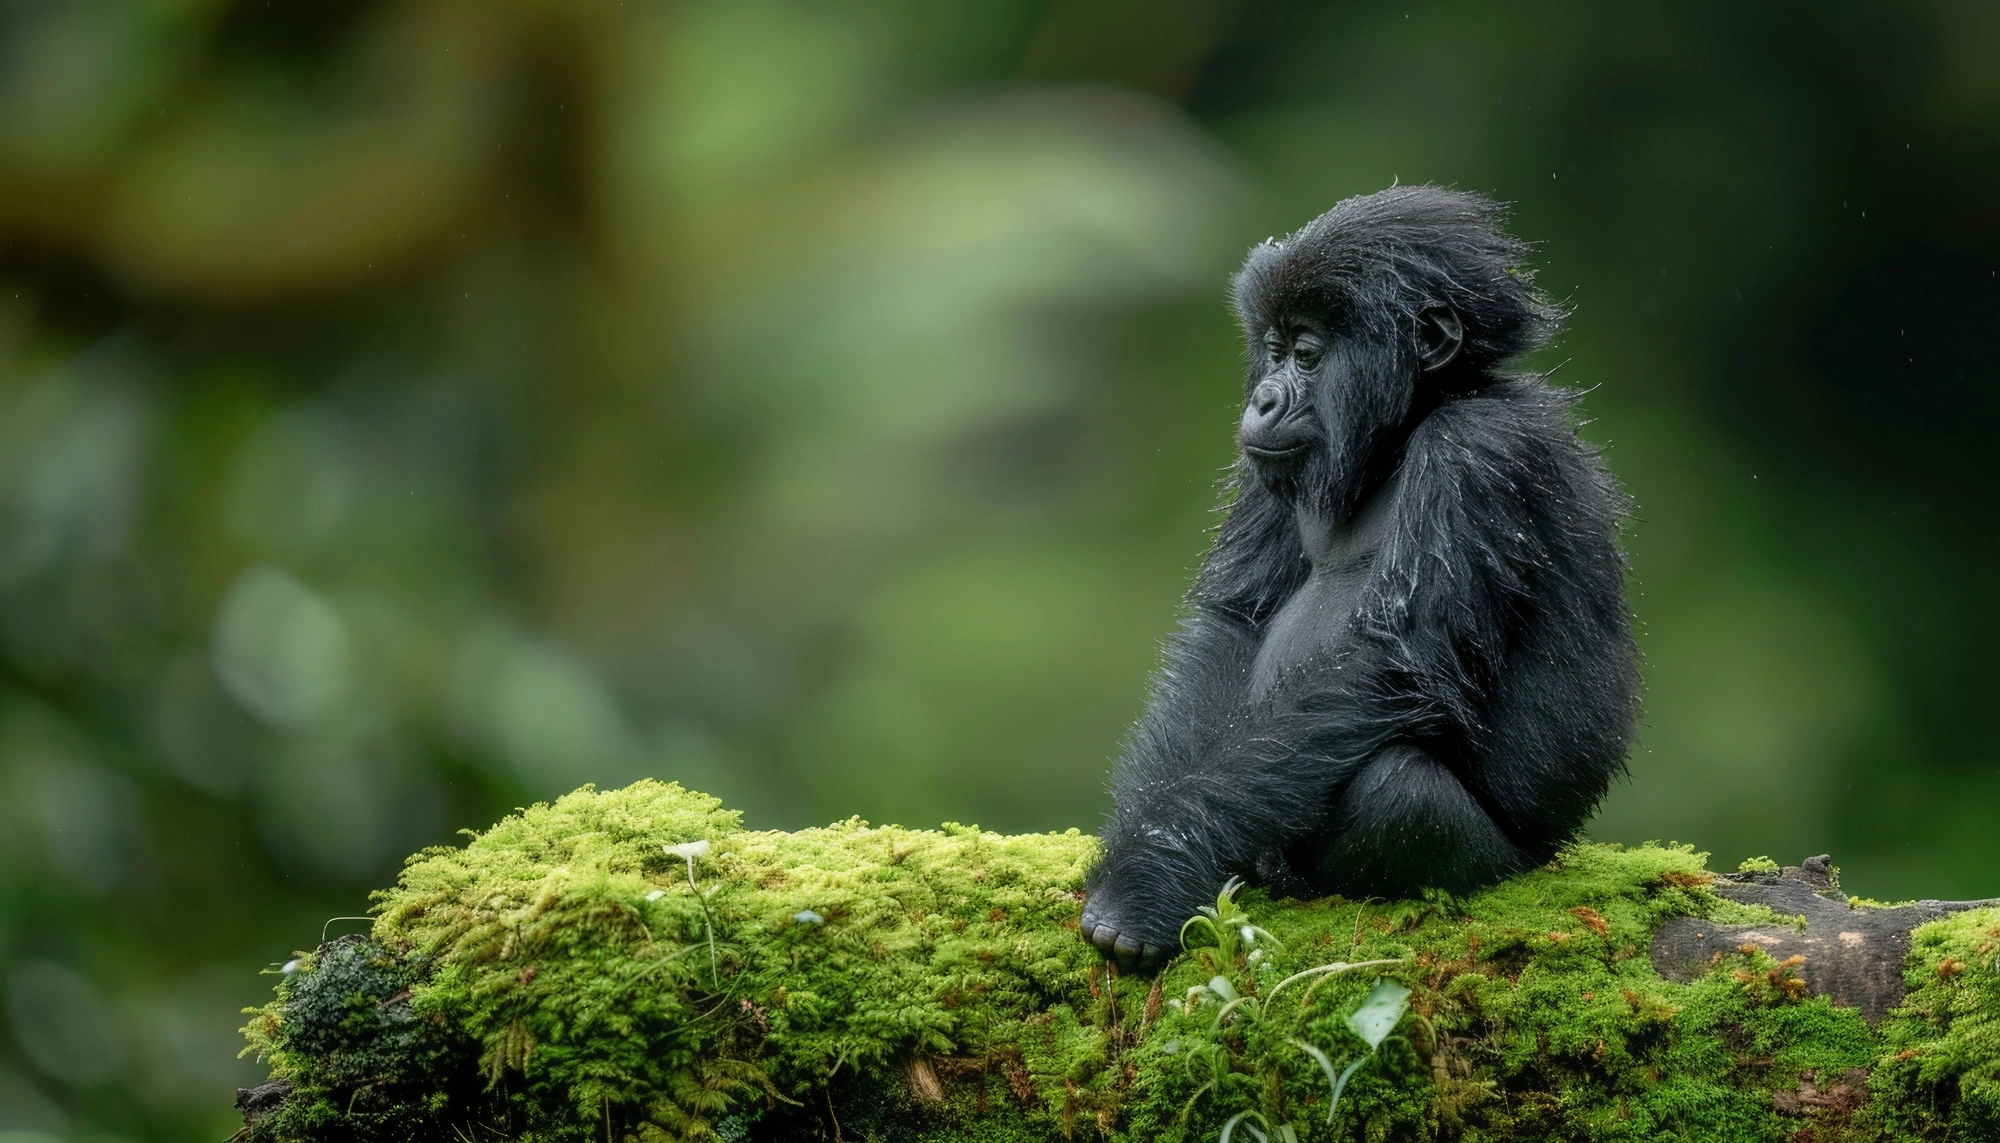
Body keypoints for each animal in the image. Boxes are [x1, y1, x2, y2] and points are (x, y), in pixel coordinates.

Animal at [1079, 186, 1640, 963]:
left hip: (1514, 863)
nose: (1263, 399)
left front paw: (1147, 878)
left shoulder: (1479, 453)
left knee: (1395, 792)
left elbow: (1389, 660)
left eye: (1309, 355)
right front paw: (1155, 847)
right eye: (1274, 351)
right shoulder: (1271, 467)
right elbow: (1235, 623)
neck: (1409, 424)